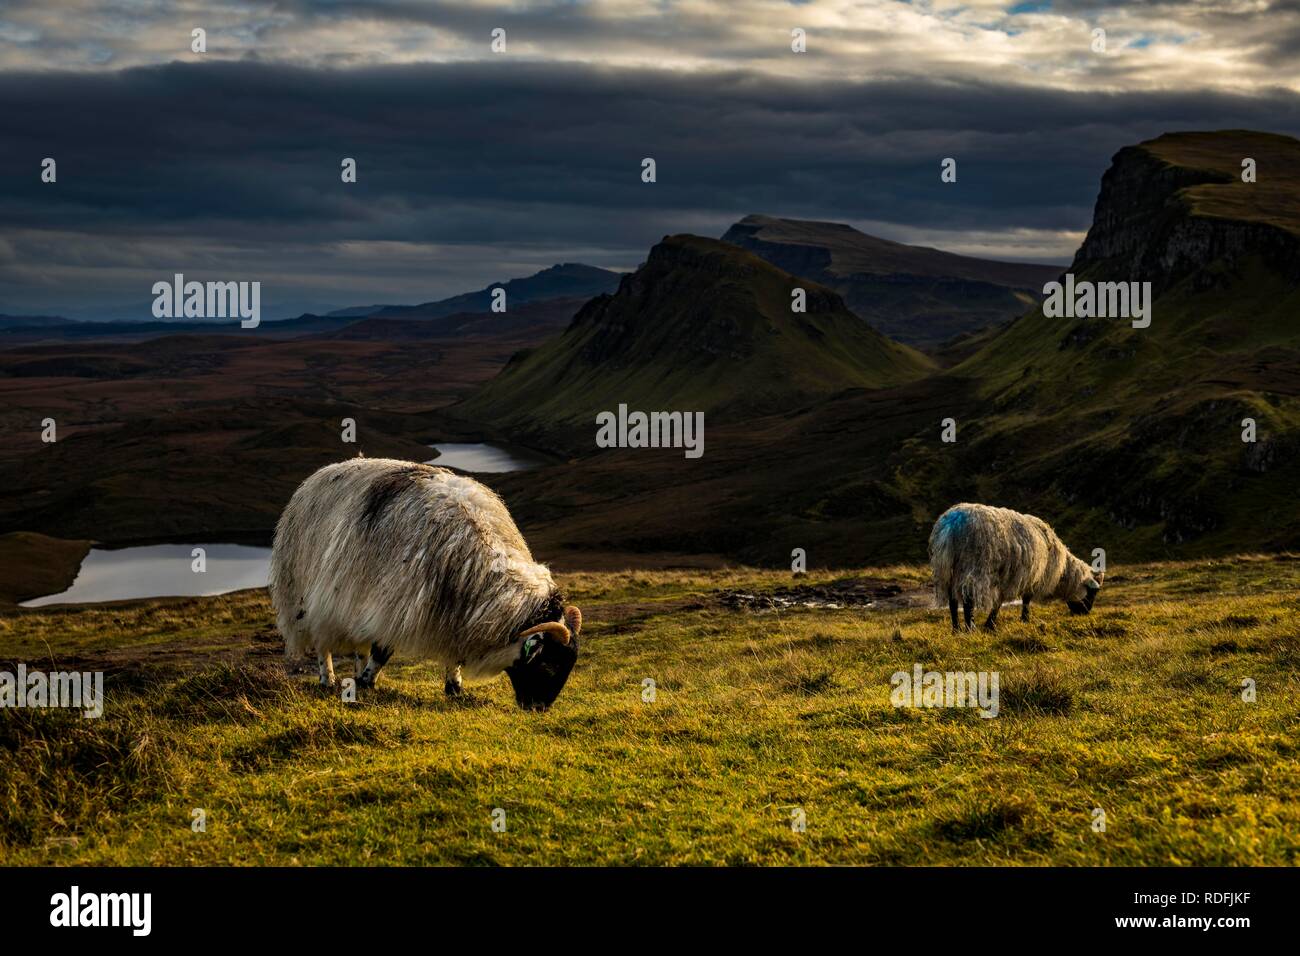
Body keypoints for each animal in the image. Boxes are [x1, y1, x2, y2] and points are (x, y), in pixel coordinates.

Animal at [269, 455, 579, 712]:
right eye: (549, 664)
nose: (538, 708)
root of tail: (322, 473)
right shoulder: (395, 604)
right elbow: (382, 651)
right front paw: (368, 683)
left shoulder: (452, 613)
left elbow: (452, 655)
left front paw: (454, 687)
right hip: (308, 593)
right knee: (322, 642)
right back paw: (329, 678)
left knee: (357, 641)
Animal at [930, 504, 1102, 632]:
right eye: (1093, 593)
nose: (1085, 614)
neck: (1063, 573)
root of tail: (951, 526)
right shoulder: (1032, 576)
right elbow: (1024, 599)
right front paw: (1023, 619)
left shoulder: (1009, 577)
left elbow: (999, 601)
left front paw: (990, 625)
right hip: (973, 566)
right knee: (968, 599)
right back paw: (970, 628)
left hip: (948, 568)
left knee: (952, 600)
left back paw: (956, 629)